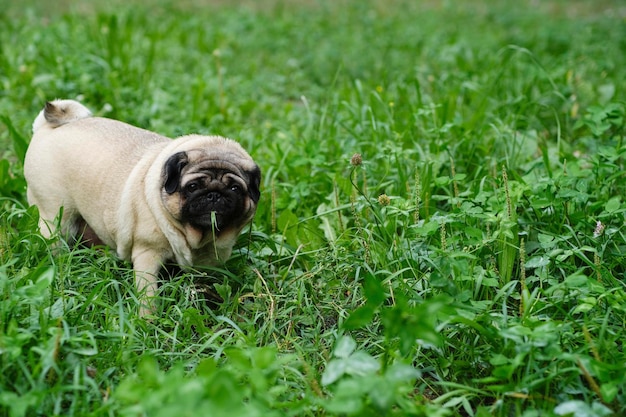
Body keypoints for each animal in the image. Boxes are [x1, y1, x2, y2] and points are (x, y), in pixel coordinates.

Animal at [24, 100, 258, 316]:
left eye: (235, 188)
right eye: (193, 187)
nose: (215, 194)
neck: (198, 236)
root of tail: (48, 127)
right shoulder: (147, 254)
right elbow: (148, 294)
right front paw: (148, 320)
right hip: (56, 218)